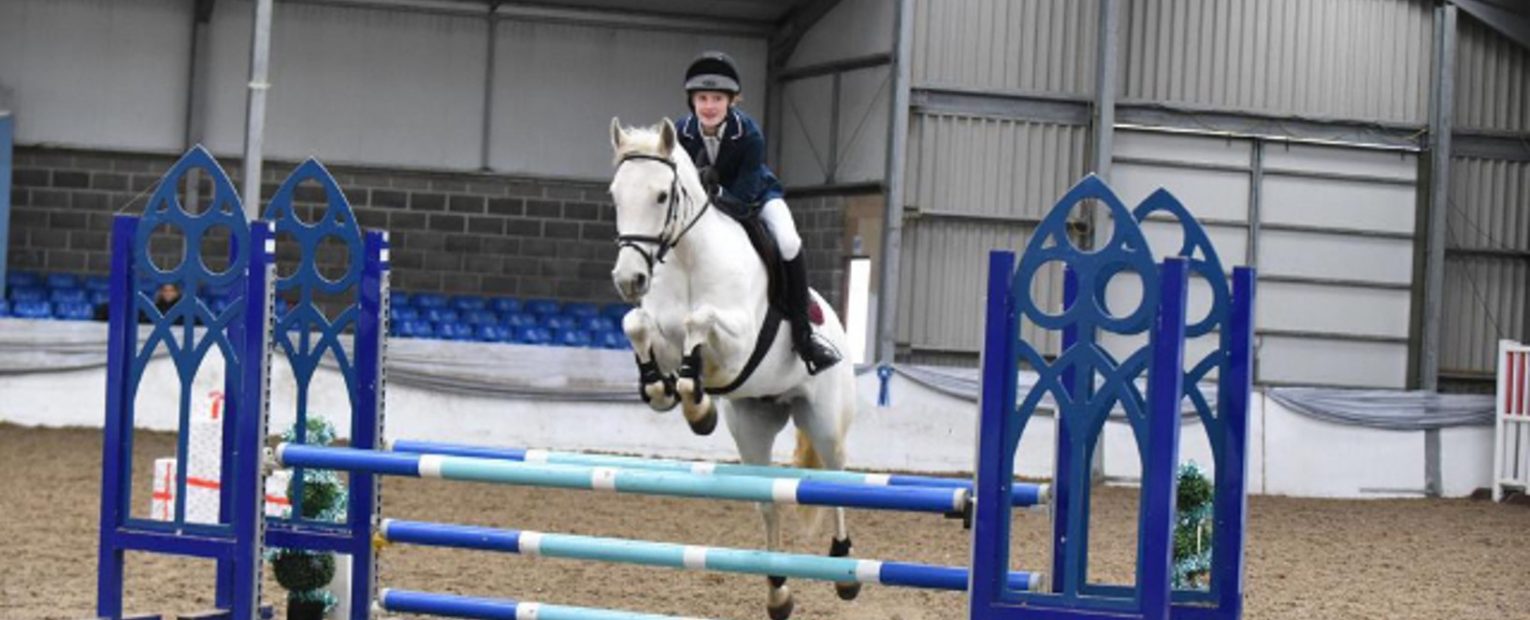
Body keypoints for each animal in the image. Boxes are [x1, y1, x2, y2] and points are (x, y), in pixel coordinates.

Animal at [605, 117, 862, 618]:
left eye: (661, 196)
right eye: (616, 195)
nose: (630, 280)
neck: (687, 257)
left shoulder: (741, 340)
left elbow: (698, 321)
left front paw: (696, 403)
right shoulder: (660, 332)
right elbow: (638, 325)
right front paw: (671, 394)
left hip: (824, 419)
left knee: (837, 476)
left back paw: (845, 571)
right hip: (752, 424)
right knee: (768, 503)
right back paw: (778, 592)